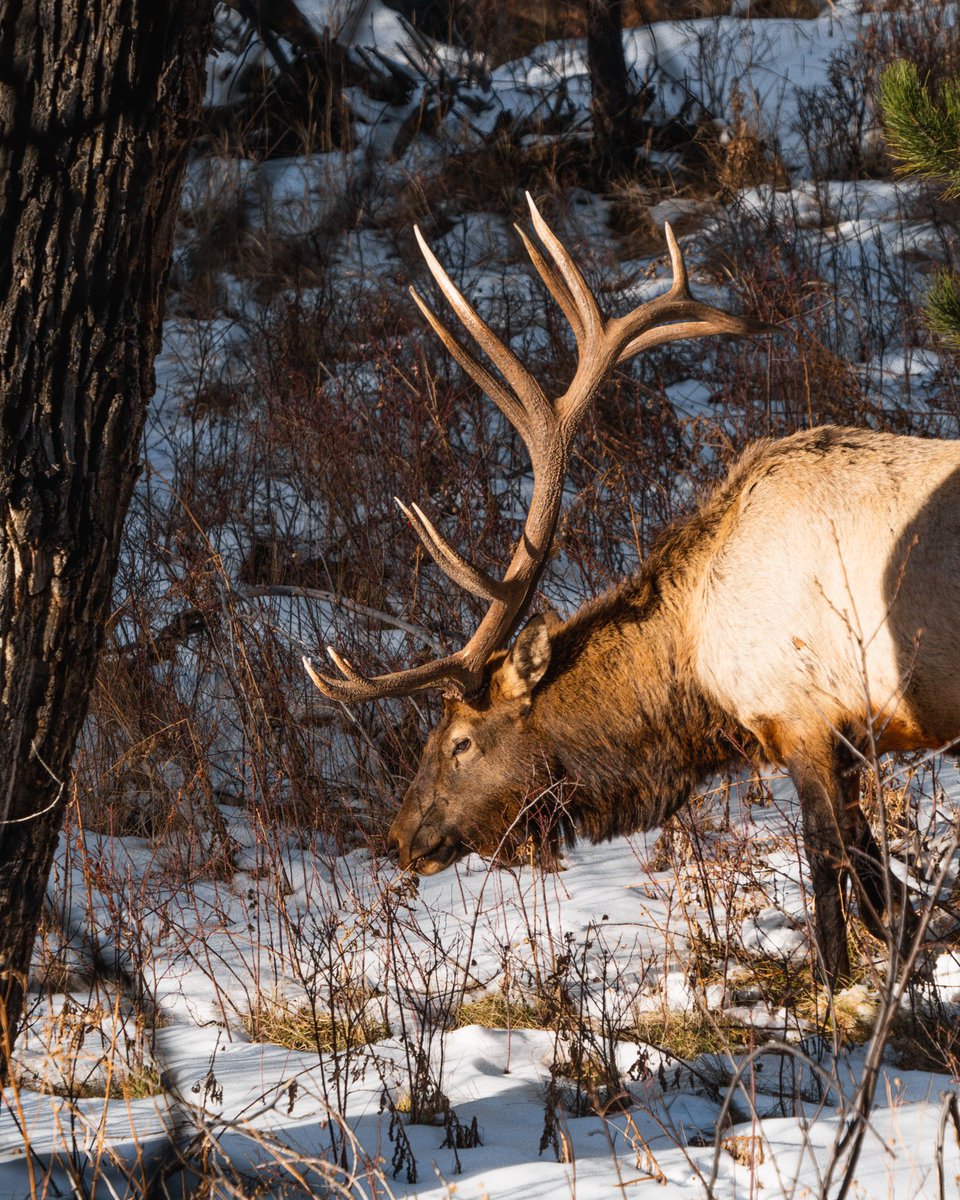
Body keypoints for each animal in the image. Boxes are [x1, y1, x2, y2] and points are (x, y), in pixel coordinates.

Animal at [303, 194, 955, 984]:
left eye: (459, 741)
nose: (401, 839)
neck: (701, 671)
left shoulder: (804, 714)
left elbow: (836, 878)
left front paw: (839, 993)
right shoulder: (854, 734)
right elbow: (884, 889)